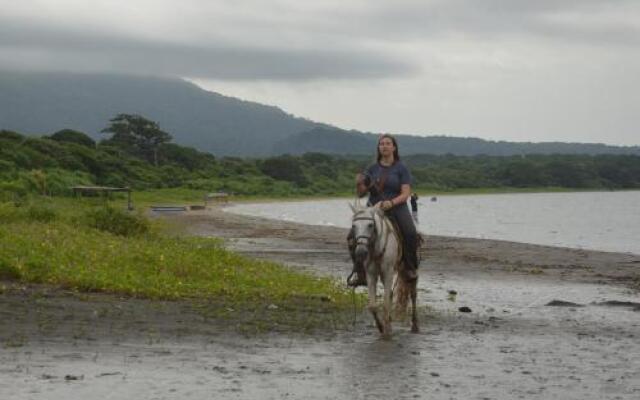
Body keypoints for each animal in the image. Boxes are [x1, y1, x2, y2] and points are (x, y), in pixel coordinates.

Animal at [350, 203, 420, 338]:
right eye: (354, 226)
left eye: (370, 225)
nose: (361, 252)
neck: (376, 247)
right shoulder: (371, 274)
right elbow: (373, 305)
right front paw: (382, 327)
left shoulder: (388, 273)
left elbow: (386, 303)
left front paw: (386, 333)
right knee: (392, 294)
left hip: (407, 270)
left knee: (413, 292)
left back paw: (414, 325)